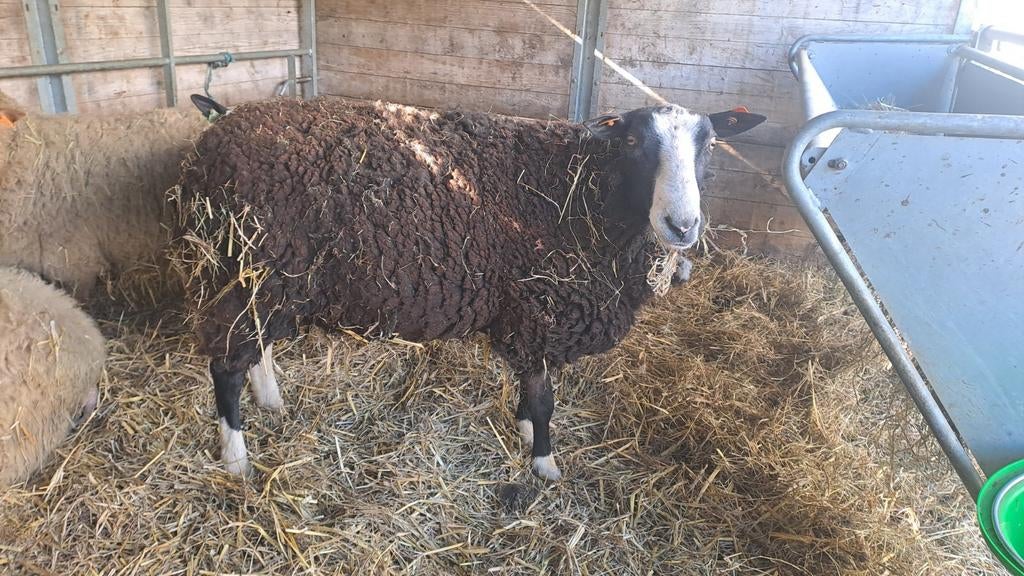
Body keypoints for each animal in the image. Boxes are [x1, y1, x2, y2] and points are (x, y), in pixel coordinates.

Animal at [171, 97, 765, 479]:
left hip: (269, 277)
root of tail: (216, 134)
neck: (579, 193)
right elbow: (544, 399)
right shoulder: (538, 307)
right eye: (635, 141)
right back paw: (236, 458)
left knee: (255, 345)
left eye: (711, 144)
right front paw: (544, 464)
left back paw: (270, 400)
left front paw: (523, 432)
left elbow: (529, 389)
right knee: (226, 364)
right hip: (246, 267)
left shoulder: (524, 313)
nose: (682, 226)